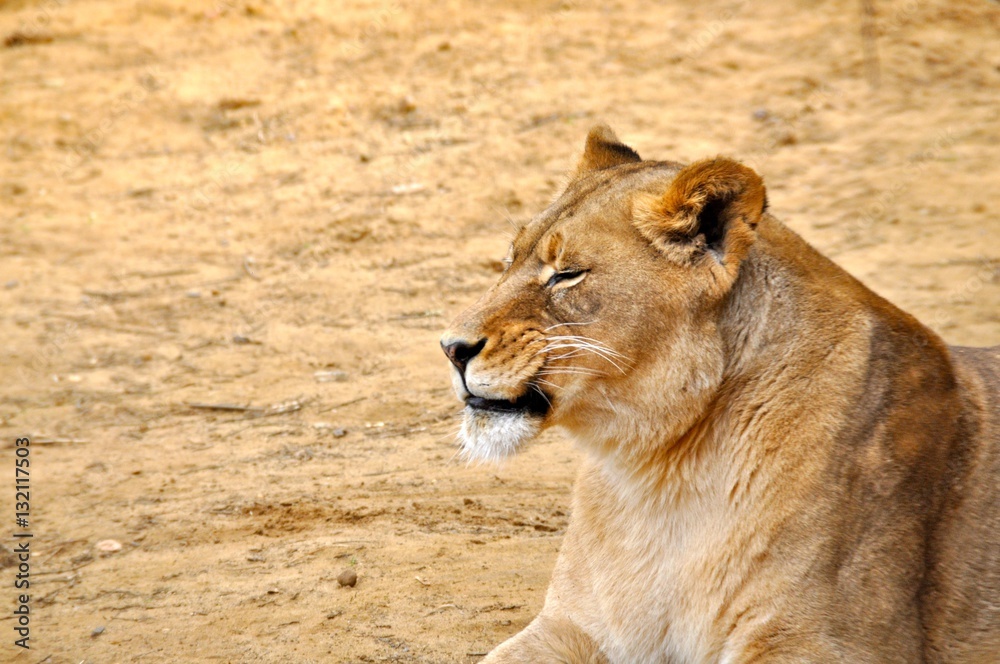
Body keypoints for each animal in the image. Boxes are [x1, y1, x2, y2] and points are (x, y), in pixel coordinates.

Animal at [440, 125, 1000, 663]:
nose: (450, 348)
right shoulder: (572, 626)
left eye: (567, 274)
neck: (657, 475)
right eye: (507, 262)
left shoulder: (825, 642)